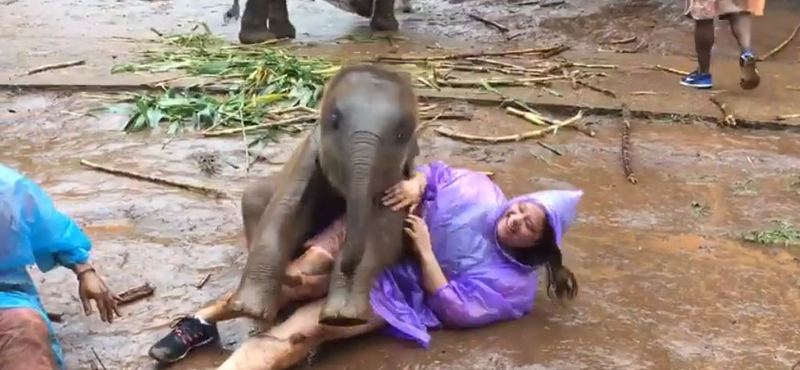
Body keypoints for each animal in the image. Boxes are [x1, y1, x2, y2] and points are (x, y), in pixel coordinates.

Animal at [227, 64, 418, 326]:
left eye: (401, 134)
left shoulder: (398, 180)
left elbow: (383, 237)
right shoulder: (307, 158)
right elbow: (283, 212)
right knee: (254, 197)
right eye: (335, 120)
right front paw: (249, 309)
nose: (347, 265)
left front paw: (343, 317)